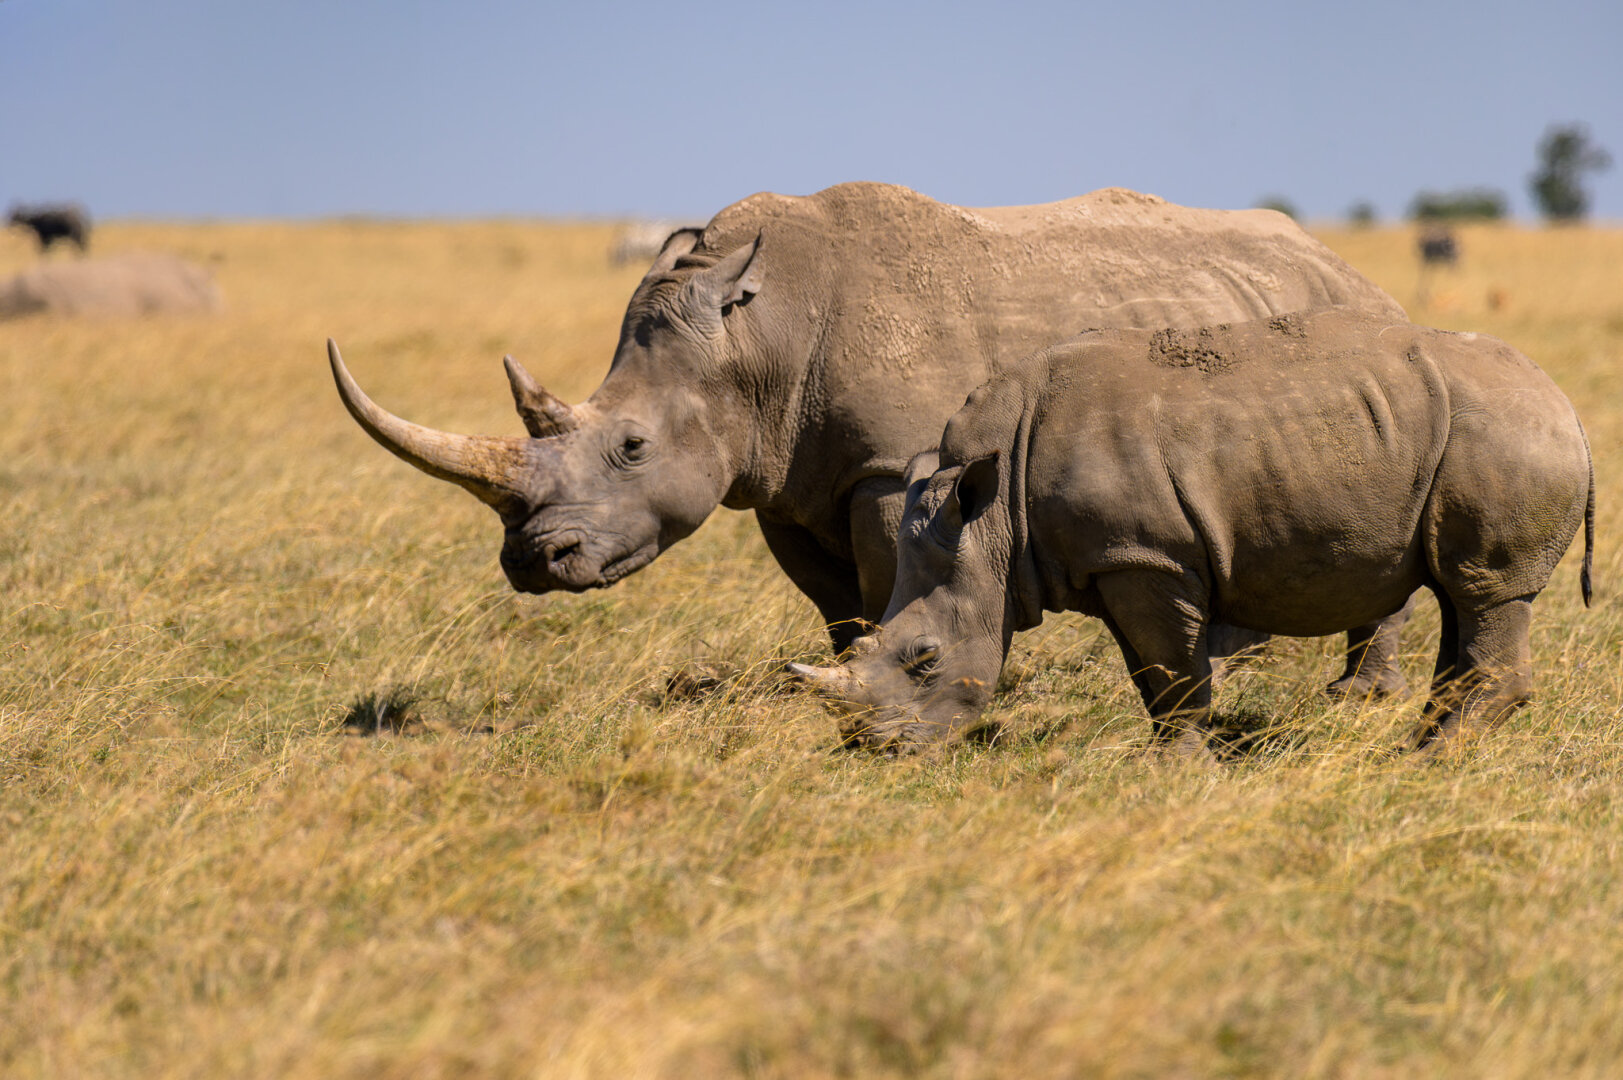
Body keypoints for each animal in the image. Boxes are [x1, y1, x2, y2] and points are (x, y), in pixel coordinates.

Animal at [328, 182, 1412, 692]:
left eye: (631, 448)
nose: (530, 562)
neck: (753, 338)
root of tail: (1348, 266)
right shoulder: (782, 477)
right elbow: (837, 602)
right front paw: (850, 679)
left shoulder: (896, 466)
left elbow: (893, 575)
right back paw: (1239, 659)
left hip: (1355, 340)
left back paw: (1353, 696)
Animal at [789, 309, 1593, 756]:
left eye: (924, 660)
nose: (879, 752)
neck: (992, 519)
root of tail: (1566, 406)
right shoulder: (1114, 561)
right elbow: (1152, 677)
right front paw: (1169, 764)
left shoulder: (1148, 558)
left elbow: (1174, 674)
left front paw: (1177, 773)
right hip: (1471, 435)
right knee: (1461, 596)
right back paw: (1421, 754)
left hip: (1505, 436)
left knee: (1486, 592)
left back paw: (1421, 765)